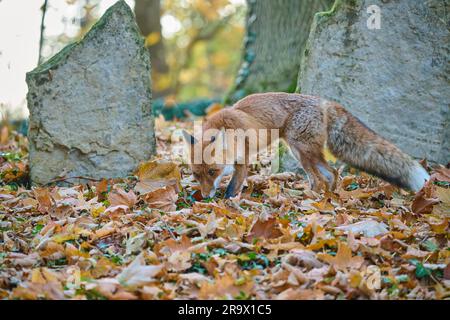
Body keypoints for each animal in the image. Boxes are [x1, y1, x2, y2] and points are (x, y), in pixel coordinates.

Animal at [182, 91, 428, 199]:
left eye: (212, 171)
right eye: (195, 174)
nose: (205, 196)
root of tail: (324, 102)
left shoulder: (243, 161)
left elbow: (233, 187)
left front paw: (227, 202)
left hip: (300, 150)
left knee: (322, 177)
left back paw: (311, 198)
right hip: (303, 152)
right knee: (331, 174)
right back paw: (326, 198)